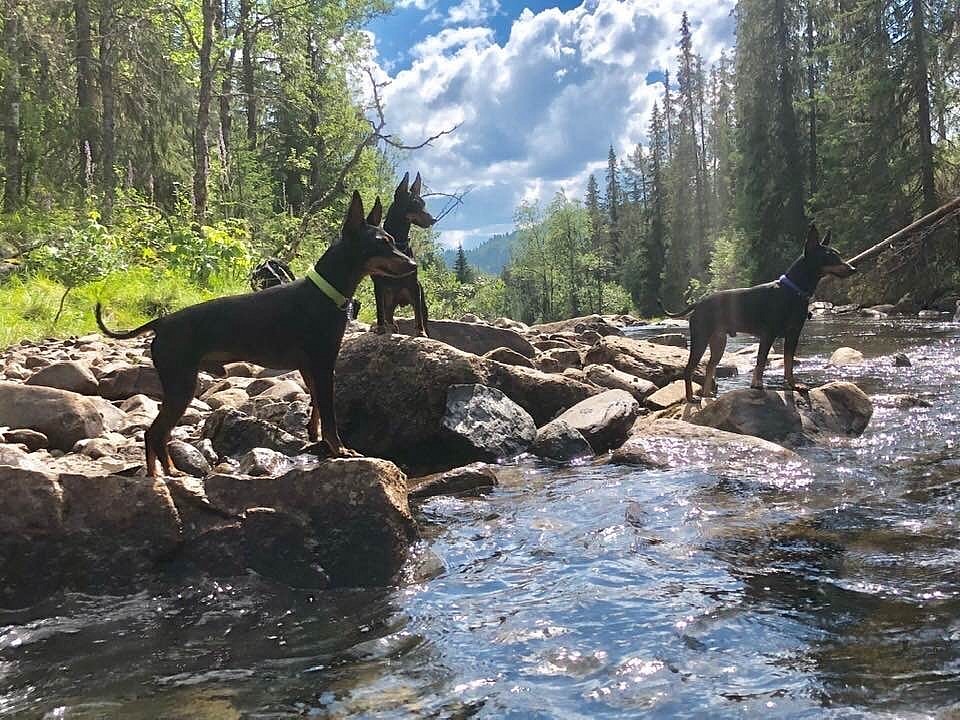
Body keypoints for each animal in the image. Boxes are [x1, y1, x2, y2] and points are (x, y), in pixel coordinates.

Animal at [93, 190, 416, 478]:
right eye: (382, 243)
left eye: (393, 242)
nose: (413, 265)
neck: (324, 293)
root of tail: (162, 322)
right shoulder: (324, 365)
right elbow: (329, 415)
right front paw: (339, 450)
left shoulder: (311, 368)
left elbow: (316, 409)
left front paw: (316, 438)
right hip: (180, 383)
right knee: (153, 433)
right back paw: (157, 475)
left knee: (159, 434)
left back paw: (169, 471)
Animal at [374, 172, 436, 338]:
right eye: (414, 203)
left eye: (424, 203)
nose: (433, 220)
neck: (399, 243)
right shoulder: (378, 285)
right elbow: (379, 310)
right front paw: (380, 328)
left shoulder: (414, 286)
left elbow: (417, 314)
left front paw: (420, 332)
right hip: (389, 299)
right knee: (388, 314)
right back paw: (390, 326)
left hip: (418, 296)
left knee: (420, 313)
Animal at [664, 224, 860, 402]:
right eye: (829, 256)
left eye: (838, 254)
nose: (853, 269)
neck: (793, 291)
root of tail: (698, 303)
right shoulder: (768, 334)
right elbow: (761, 361)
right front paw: (757, 384)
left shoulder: (793, 335)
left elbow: (788, 364)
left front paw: (793, 385)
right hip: (701, 338)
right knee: (688, 369)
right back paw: (691, 398)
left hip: (718, 341)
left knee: (710, 367)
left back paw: (706, 395)